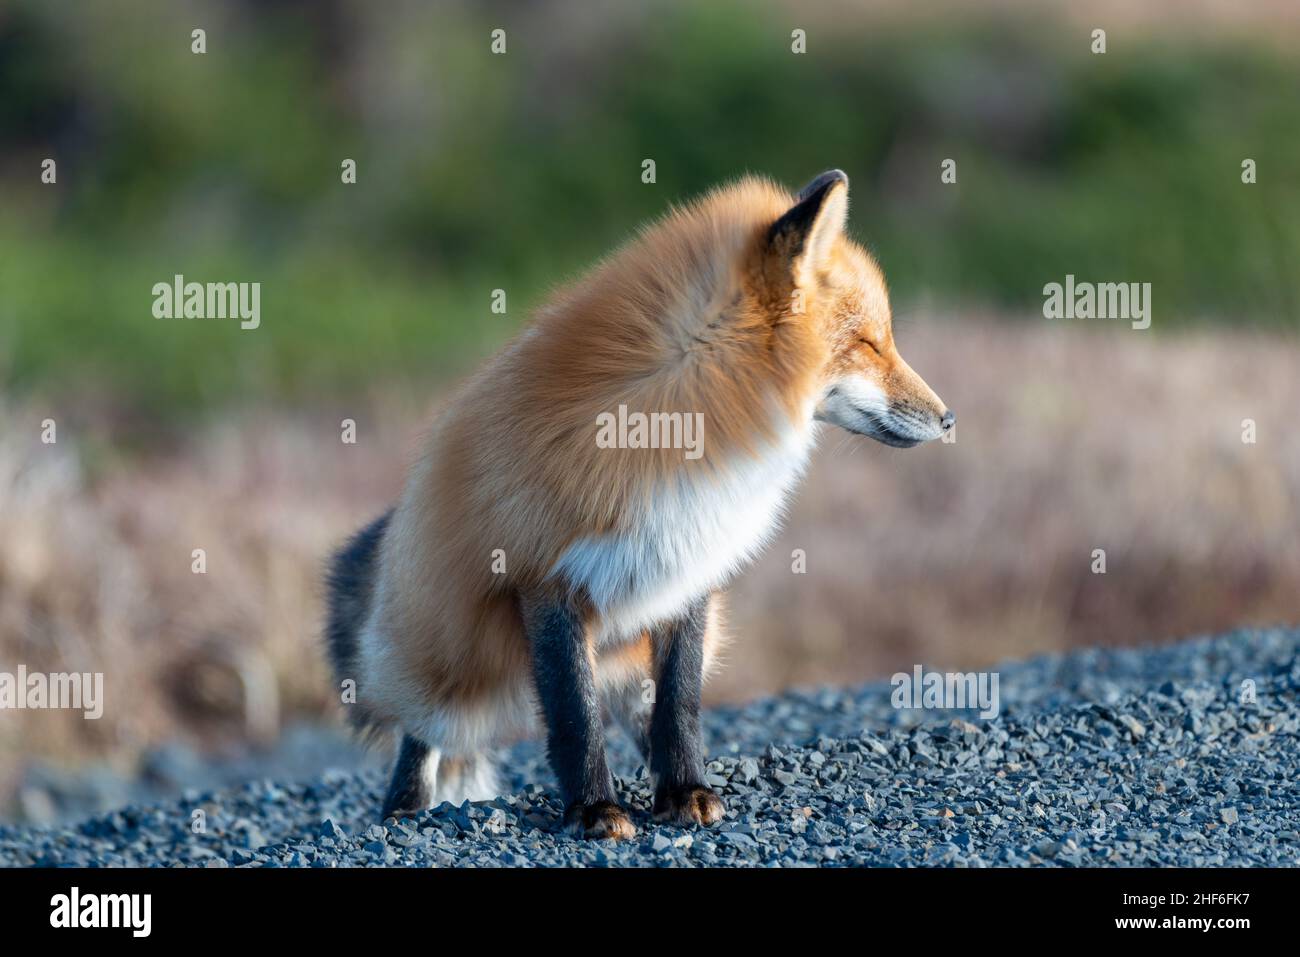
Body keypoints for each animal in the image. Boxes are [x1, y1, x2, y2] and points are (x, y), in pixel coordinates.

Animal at [327, 170, 956, 837]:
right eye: (868, 344)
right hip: (448, 676)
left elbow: (679, 702)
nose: (949, 419)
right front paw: (593, 809)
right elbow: (574, 716)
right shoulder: (543, 580)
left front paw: (684, 790)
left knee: (641, 708)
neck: (673, 430)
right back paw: (404, 811)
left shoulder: (688, 567)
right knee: (422, 735)